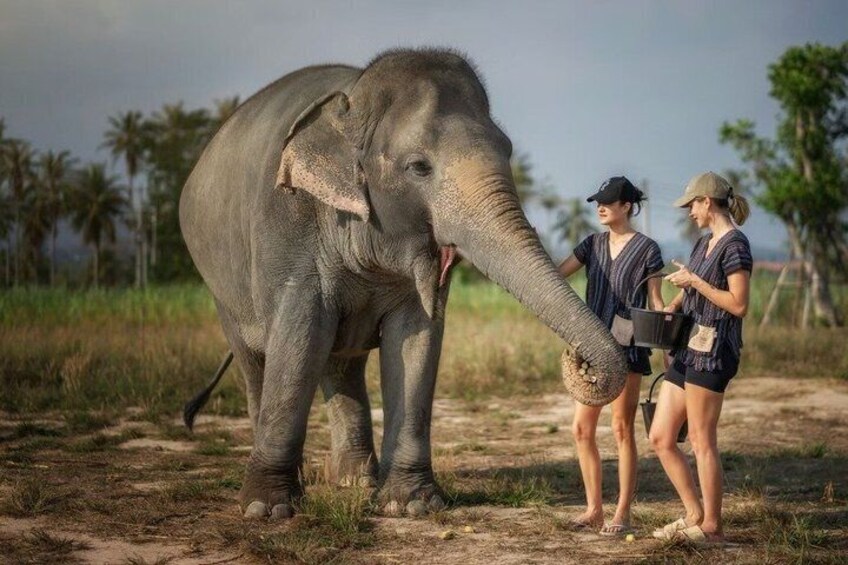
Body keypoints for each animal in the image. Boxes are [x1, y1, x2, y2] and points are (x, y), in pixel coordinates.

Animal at [179, 48, 627, 519]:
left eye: (507, 149)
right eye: (418, 167)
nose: (582, 361)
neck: (353, 99)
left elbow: (416, 338)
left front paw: (412, 505)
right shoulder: (286, 224)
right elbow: (299, 337)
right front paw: (268, 510)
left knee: (340, 363)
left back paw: (355, 481)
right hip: (221, 286)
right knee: (257, 363)